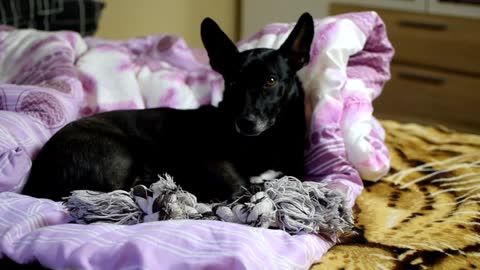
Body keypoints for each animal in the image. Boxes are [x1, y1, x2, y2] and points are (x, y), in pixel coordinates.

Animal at [23, 13, 316, 202]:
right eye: (233, 83)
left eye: (270, 81)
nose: (245, 122)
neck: (263, 141)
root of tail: (36, 178)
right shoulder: (213, 161)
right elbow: (244, 187)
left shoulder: (296, 173)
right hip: (118, 152)